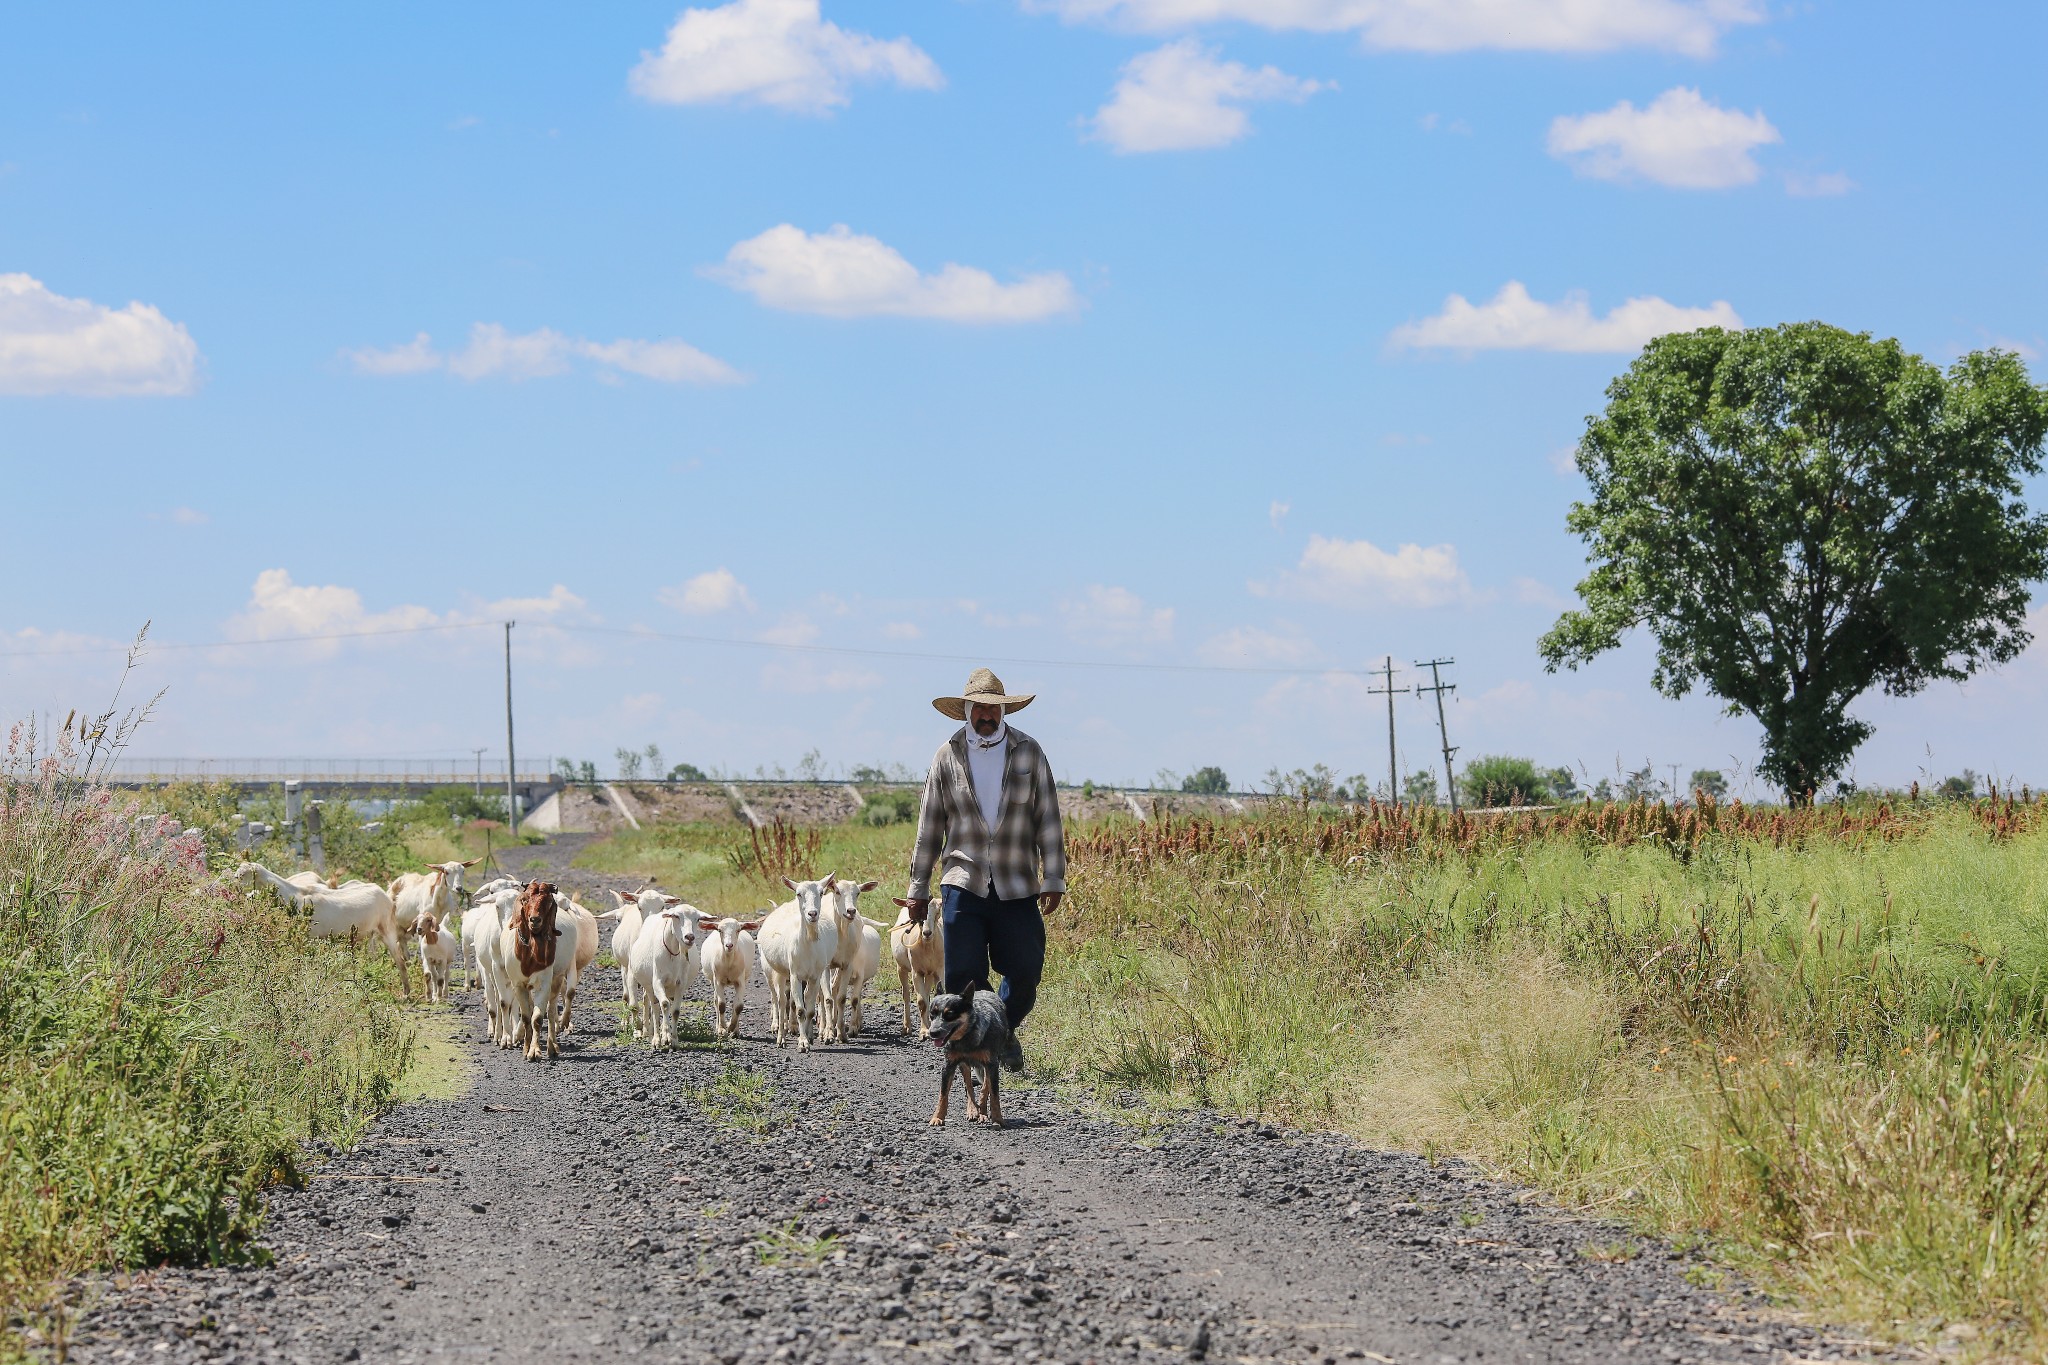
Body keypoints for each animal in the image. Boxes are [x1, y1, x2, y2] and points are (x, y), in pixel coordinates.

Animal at [761, 875, 839, 1055]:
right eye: (799, 893)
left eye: (821, 892)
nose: (812, 913)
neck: (807, 944)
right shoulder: (795, 975)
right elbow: (800, 1010)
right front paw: (802, 1043)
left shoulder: (814, 976)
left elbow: (809, 1010)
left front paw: (808, 1038)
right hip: (779, 972)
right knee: (781, 1002)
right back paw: (781, 1038)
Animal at [925, 986, 1011, 1129]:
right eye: (932, 1014)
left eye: (950, 1014)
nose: (933, 1033)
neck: (966, 1038)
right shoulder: (949, 1065)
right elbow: (943, 1094)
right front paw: (937, 1117)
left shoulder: (992, 1064)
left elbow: (993, 1094)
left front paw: (998, 1119)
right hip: (963, 1065)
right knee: (969, 1086)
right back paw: (973, 1110)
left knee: (985, 1086)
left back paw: (982, 1113)